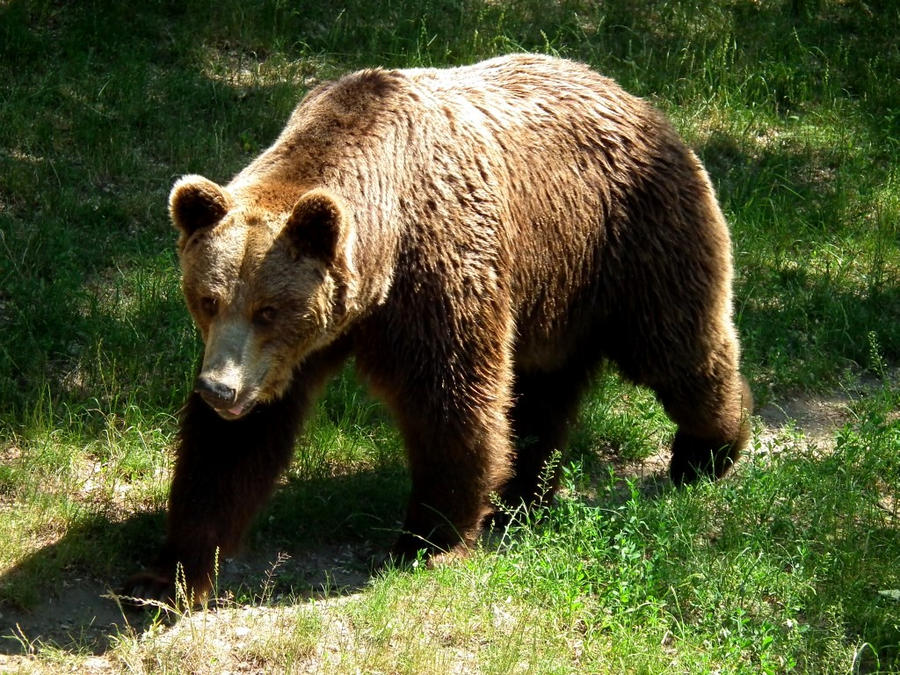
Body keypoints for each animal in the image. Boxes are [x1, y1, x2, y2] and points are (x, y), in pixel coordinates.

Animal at [121, 52, 752, 604]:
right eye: (207, 299)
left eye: (269, 309)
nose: (220, 390)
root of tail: (633, 97)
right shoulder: (293, 351)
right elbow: (233, 447)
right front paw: (168, 576)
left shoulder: (435, 274)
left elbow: (450, 402)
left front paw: (430, 540)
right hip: (554, 292)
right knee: (543, 391)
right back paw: (524, 494)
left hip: (630, 242)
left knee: (678, 350)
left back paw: (709, 451)